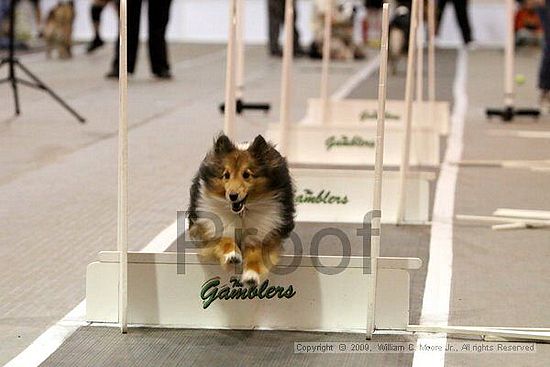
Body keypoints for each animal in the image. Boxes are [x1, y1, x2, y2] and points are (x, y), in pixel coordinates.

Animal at [188, 135, 296, 288]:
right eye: (226, 175)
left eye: (246, 174)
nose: (233, 196)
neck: (241, 213)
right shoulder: (214, 226)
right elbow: (225, 238)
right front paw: (232, 256)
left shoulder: (264, 233)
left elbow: (255, 254)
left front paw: (251, 276)